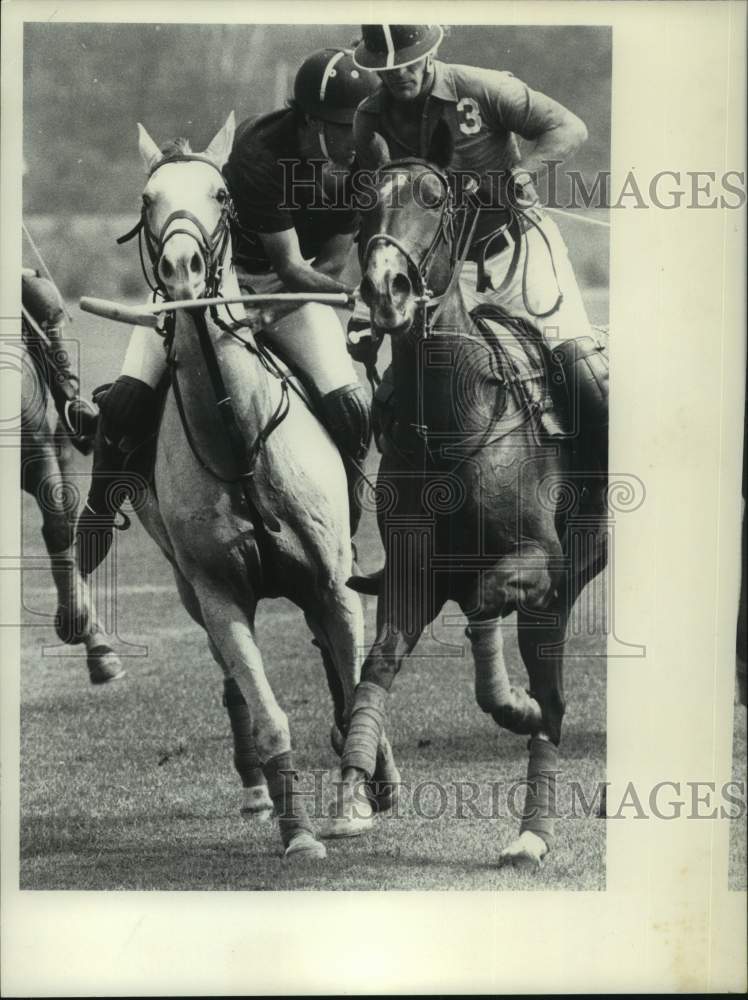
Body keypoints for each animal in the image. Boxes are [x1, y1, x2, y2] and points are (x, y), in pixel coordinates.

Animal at [328, 150, 608, 868]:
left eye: (434, 198)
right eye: (365, 203)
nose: (386, 290)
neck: (454, 416)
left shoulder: (540, 560)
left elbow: (488, 597)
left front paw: (516, 707)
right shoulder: (411, 576)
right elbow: (376, 668)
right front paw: (351, 799)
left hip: (570, 578)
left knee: (551, 683)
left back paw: (532, 828)